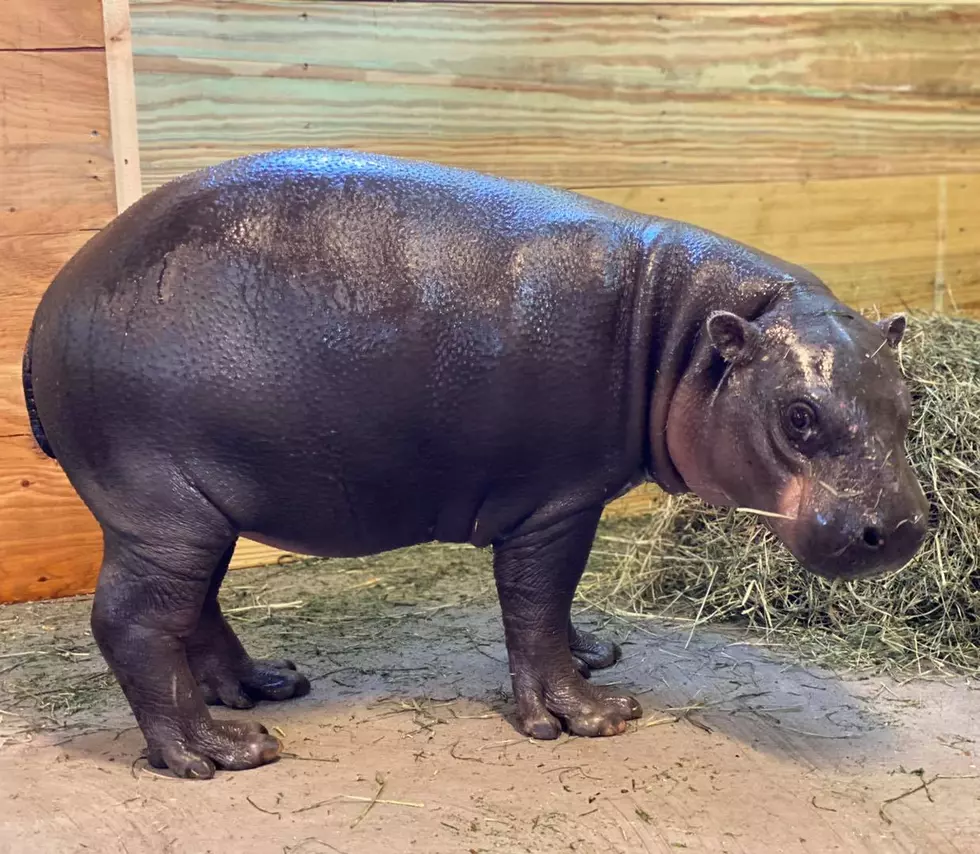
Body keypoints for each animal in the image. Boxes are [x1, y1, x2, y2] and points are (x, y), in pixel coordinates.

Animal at [21, 149, 928, 784]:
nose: (901, 528)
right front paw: (592, 716)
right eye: (798, 416)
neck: (682, 335)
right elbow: (536, 602)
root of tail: (47, 310)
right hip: (161, 509)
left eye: (911, 398)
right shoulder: (554, 502)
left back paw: (265, 687)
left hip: (201, 510)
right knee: (132, 623)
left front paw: (593, 654)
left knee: (194, 608)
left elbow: (555, 609)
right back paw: (224, 752)